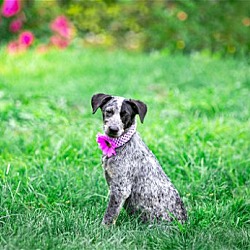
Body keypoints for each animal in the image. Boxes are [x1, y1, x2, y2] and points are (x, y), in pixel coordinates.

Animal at [91, 93, 187, 225]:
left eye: (125, 115)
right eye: (109, 111)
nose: (113, 129)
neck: (120, 143)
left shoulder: (120, 189)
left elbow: (109, 215)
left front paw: (103, 228)